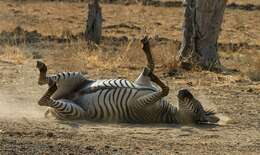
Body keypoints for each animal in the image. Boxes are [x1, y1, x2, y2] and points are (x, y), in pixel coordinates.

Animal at [37, 37, 219, 124]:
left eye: (197, 108)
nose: (184, 90)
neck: (170, 113)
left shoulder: (139, 105)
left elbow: (165, 89)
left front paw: (157, 78)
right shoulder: (142, 81)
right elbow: (150, 67)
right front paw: (146, 48)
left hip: (75, 111)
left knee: (43, 100)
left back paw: (50, 87)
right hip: (76, 77)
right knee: (44, 83)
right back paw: (43, 71)